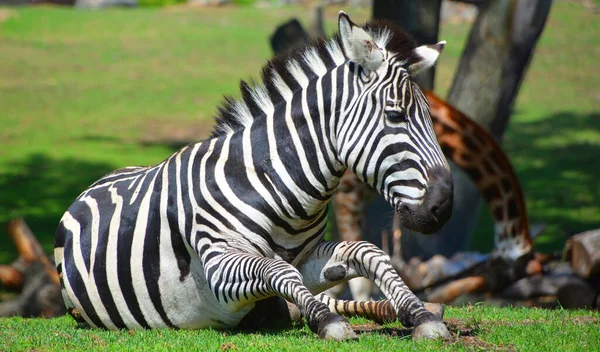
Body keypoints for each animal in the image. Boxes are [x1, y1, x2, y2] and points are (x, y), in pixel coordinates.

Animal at [54, 13, 452, 340]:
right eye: (395, 115)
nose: (443, 208)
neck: (275, 187)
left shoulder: (308, 256)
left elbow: (367, 252)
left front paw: (418, 313)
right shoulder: (218, 266)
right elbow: (280, 271)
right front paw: (327, 321)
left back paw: (418, 308)